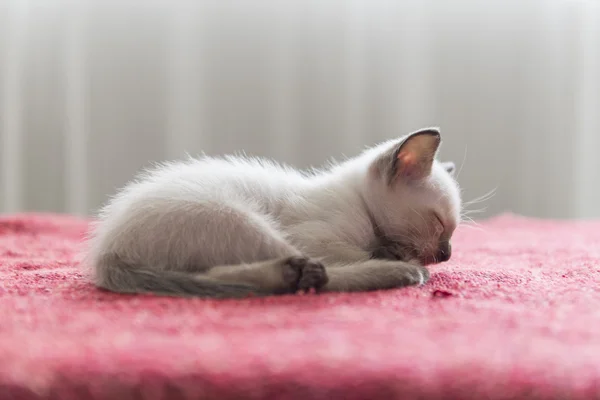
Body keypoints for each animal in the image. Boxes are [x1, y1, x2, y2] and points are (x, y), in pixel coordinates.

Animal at [85, 128, 460, 296]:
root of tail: (108, 250)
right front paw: (395, 259)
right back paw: (399, 273)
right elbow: (357, 254)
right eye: (438, 222)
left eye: (452, 231)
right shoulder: (319, 238)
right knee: (322, 273)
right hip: (238, 217)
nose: (446, 254)